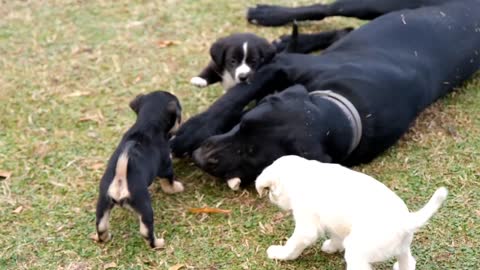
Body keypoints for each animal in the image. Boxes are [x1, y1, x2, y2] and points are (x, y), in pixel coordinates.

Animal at [94, 90, 184, 249]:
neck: (146, 124)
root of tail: (120, 179)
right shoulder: (166, 167)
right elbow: (169, 183)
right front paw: (176, 188)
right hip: (144, 207)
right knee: (146, 231)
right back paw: (158, 243)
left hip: (103, 203)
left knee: (101, 226)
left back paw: (105, 237)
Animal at [172, 0, 480, 189]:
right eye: (243, 125)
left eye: (253, 154)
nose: (202, 156)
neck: (343, 108)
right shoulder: (282, 67)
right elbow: (232, 99)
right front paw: (190, 132)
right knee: (325, 9)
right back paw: (268, 14)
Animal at [256, 155, 448, 268]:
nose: (270, 197)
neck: (302, 174)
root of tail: (406, 222)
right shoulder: (335, 223)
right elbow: (336, 236)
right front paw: (332, 247)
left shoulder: (306, 227)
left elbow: (294, 244)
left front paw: (280, 254)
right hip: (403, 249)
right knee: (408, 263)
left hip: (357, 253)